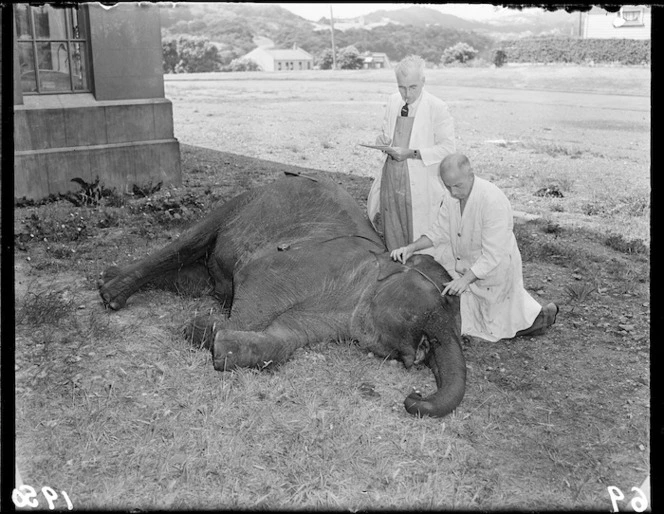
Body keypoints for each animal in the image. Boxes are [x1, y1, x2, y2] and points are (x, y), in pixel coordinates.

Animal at [98, 172, 466, 416]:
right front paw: (202, 328)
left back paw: (111, 275)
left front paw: (215, 340)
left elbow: (282, 341)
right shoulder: (308, 264)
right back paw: (111, 294)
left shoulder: (331, 320)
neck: (381, 262)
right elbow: (254, 290)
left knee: (191, 278)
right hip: (242, 202)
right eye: (439, 305)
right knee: (188, 243)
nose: (413, 396)